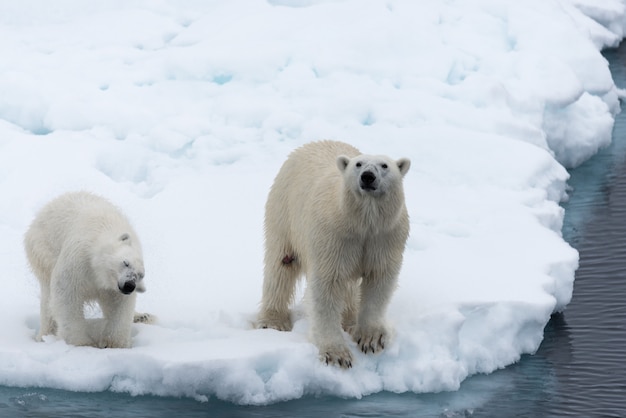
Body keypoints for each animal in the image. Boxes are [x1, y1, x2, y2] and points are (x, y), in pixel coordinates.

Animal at [23, 191, 148, 348]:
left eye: (140, 275)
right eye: (125, 263)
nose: (129, 285)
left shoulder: (113, 287)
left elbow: (119, 304)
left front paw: (115, 343)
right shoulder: (79, 259)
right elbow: (66, 294)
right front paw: (81, 342)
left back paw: (143, 316)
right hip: (43, 250)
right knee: (48, 298)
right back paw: (45, 335)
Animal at [258, 140, 410, 366]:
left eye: (384, 165)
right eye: (358, 164)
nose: (367, 176)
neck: (362, 223)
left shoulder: (384, 238)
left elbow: (379, 280)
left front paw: (371, 339)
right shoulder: (333, 237)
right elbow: (327, 285)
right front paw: (337, 354)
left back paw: (350, 319)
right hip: (284, 210)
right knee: (281, 265)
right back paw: (273, 321)